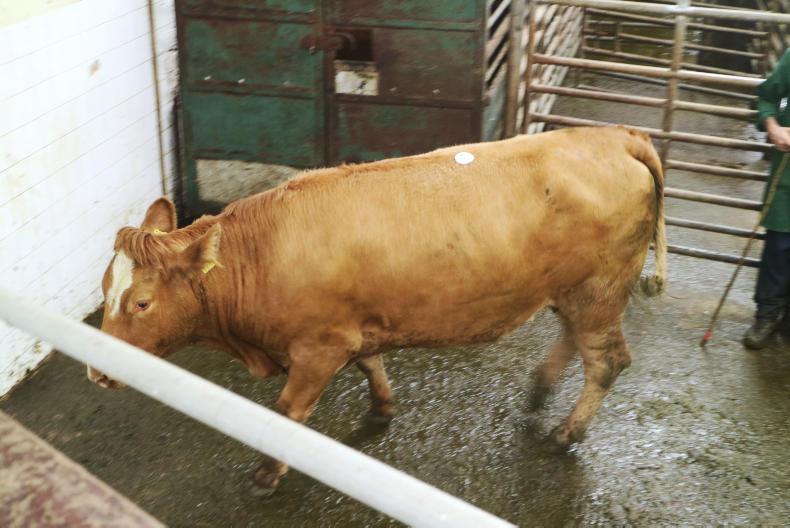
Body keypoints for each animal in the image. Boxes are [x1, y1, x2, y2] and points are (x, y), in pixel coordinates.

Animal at [88, 126, 666, 493]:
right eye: (104, 289)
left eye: (141, 302)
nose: (96, 372)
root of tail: (616, 135)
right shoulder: (351, 328)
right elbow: (371, 363)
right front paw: (381, 406)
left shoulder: (318, 348)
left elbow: (287, 412)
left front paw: (267, 474)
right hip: (578, 292)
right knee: (575, 340)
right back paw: (540, 392)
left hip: (598, 289)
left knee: (606, 361)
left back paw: (566, 433)